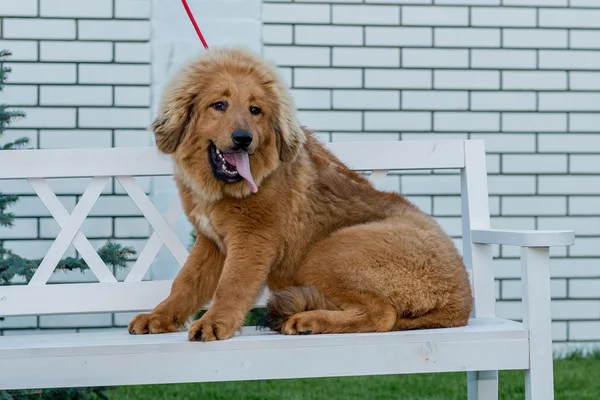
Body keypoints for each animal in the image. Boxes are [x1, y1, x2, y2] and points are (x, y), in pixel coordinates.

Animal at [127, 47, 474, 340]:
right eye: (219, 105)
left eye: (255, 110)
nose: (243, 139)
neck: (223, 190)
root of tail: (462, 302)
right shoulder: (212, 241)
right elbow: (185, 282)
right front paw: (161, 316)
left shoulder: (253, 239)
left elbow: (231, 285)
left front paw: (214, 323)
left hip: (331, 251)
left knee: (382, 315)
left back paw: (308, 320)